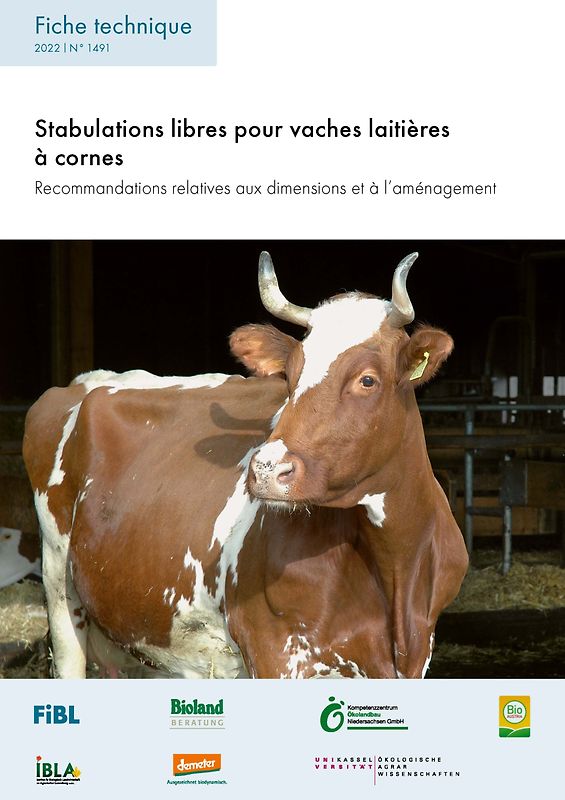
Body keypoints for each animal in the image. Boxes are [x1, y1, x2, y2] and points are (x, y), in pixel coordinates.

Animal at [23, 251, 468, 679]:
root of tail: (88, 379)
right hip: (59, 584)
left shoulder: (415, 658)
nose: (268, 469)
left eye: (368, 380)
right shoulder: (272, 650)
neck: (394, 570)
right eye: (289, 376)